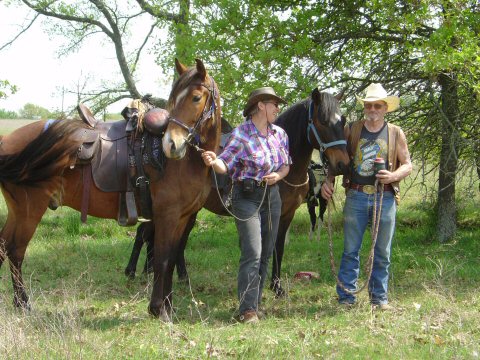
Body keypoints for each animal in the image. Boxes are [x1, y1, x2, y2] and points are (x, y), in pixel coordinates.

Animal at [0, 58, 221, 320]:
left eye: (196, 98)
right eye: (173, 99)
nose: (172, 145)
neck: (183, 163)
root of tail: (8, 141)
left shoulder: (183, 217)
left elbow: (171, 257)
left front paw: (167, 308)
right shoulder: (167, 215)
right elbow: (163, 259)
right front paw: (159, 309)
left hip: (18, 210)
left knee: (4, 247)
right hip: (29, 210)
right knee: (16, 251)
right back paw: (23, 304)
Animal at [124, 87, 348, 296]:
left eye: (343, 121)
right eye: (323, 121)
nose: (342, 164)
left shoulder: (286, 214)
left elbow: (278, 248)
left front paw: (276, 287)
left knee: (175, 242)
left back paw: (177, 277)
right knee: (144, 234)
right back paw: (133, 271)